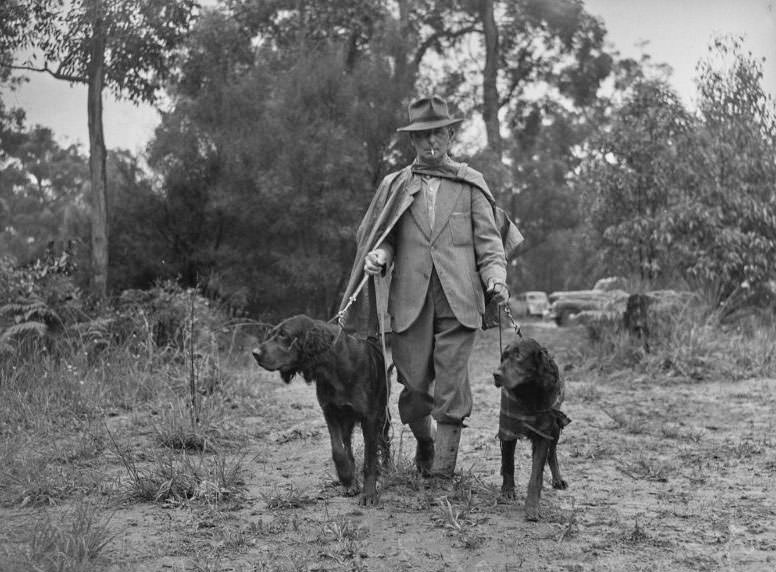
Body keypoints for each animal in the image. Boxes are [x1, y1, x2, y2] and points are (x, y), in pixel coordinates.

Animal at [253, 316, 392, 508]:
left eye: (283, 334)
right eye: (272, 333)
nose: (255, 353)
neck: (335, 366)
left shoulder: (369, 418)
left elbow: (370, 458)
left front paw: (369, 493)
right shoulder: (330, 411)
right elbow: (338, 450)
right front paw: (346, 477)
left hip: (382, 414)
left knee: (384, 441)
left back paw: (386, 469)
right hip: (346, 420)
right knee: (347, 444)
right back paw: (351, 481)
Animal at [498, 338, 568, 520]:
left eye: (519, 356)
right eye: (504, 356)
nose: (496, 374)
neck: (528, 394)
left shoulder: (543, 433)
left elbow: (536, 475)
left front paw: (532, 506)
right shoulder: (507, 430)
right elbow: (508, 464)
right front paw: (507, 491)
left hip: (555, 426)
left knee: (552, 453)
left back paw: (558, 479)